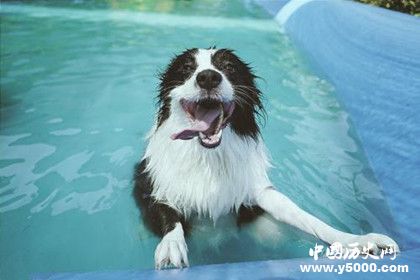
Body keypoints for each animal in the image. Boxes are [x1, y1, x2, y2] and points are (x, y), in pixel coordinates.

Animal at [134, 47, 398, 270]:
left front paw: (356, 240)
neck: (209, 156)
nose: (208, 77)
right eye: (187, 69)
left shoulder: (258, 191)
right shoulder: (153, 185)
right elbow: (167, 213)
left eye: (229, 67)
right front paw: (172, 244)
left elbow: (304, 217)